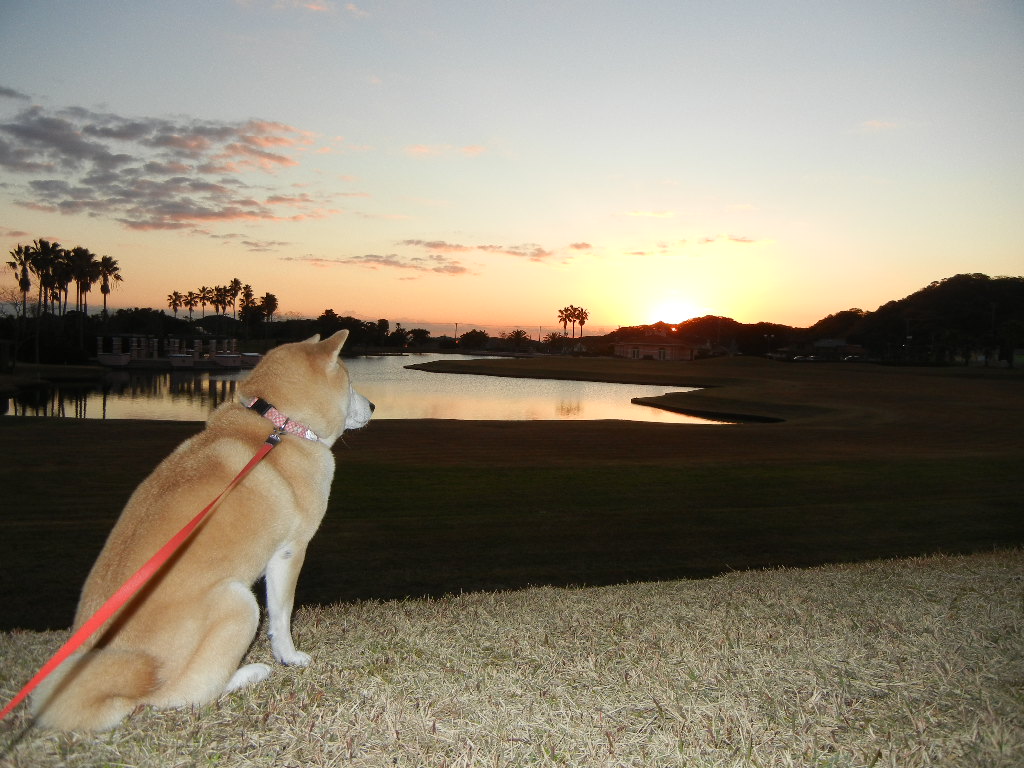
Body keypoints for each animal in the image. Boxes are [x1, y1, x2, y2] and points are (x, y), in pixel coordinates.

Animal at [30, 331, 376, 733]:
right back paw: (249, 673)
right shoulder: (290, 551)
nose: (373, 406)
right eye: (349, 382)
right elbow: (282, 615)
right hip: (239, 604)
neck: (280, 425)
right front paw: (288, 657)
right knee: (190, 693)